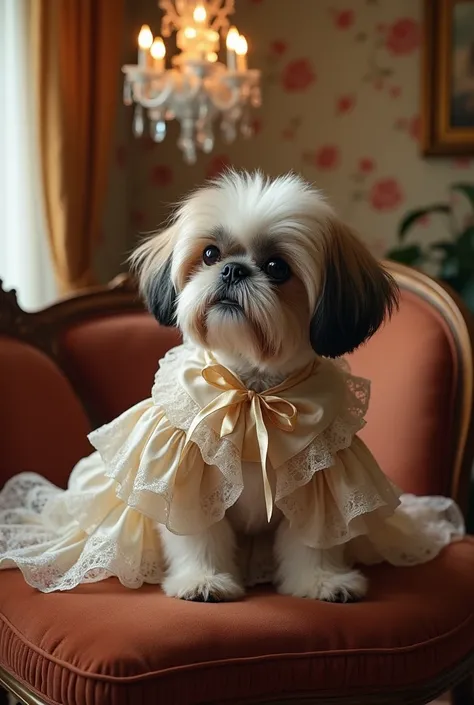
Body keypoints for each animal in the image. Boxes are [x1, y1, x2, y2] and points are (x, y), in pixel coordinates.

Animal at [131, 169, 400, 600]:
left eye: (277, 267)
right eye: (210, 255)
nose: (233, 270)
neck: (254, 392)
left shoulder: (323, 484)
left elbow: (315, 539)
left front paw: (323, 581)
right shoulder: (186, 475)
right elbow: (199, 535)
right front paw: (203, 579)